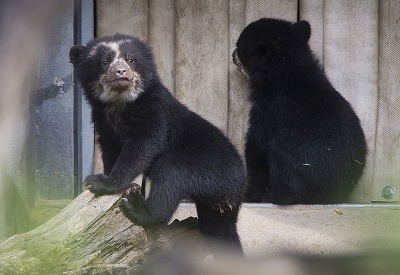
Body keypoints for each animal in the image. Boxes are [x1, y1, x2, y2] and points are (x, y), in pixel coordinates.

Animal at [69, 33, 247, 253]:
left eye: (131, 60)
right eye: (104, 61)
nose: (120, 72)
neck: (120, 104)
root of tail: (240, 183)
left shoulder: (154, 112)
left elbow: (142, 146)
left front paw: (101, 182)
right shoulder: (103, 123)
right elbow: (111, 150)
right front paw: (104, 176)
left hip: (212, 168)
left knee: (171, 171)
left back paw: (138, 208)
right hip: (218, 203)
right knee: (219, 230)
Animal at [233, 18, 368, 205]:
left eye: (238, 46)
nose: (232, 55)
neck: (285, 66)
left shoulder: (269, 107)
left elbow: (256, 145)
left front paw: (248, 194)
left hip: (291, 161)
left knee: (281, 165)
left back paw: (274, 195)